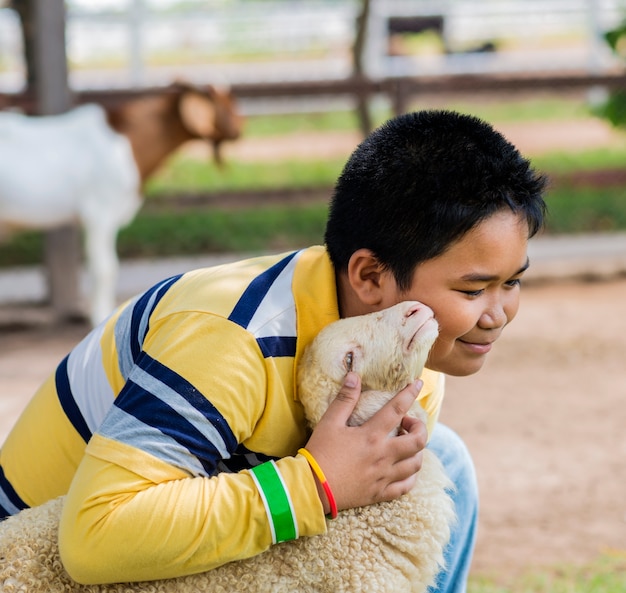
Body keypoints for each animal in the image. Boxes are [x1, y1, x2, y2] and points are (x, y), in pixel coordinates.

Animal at [0, 81, 241, 326]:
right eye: (223, 104)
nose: (239, 128)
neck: (128, 140)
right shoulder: (100, 213)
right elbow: (105, 269)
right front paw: (100, 316)